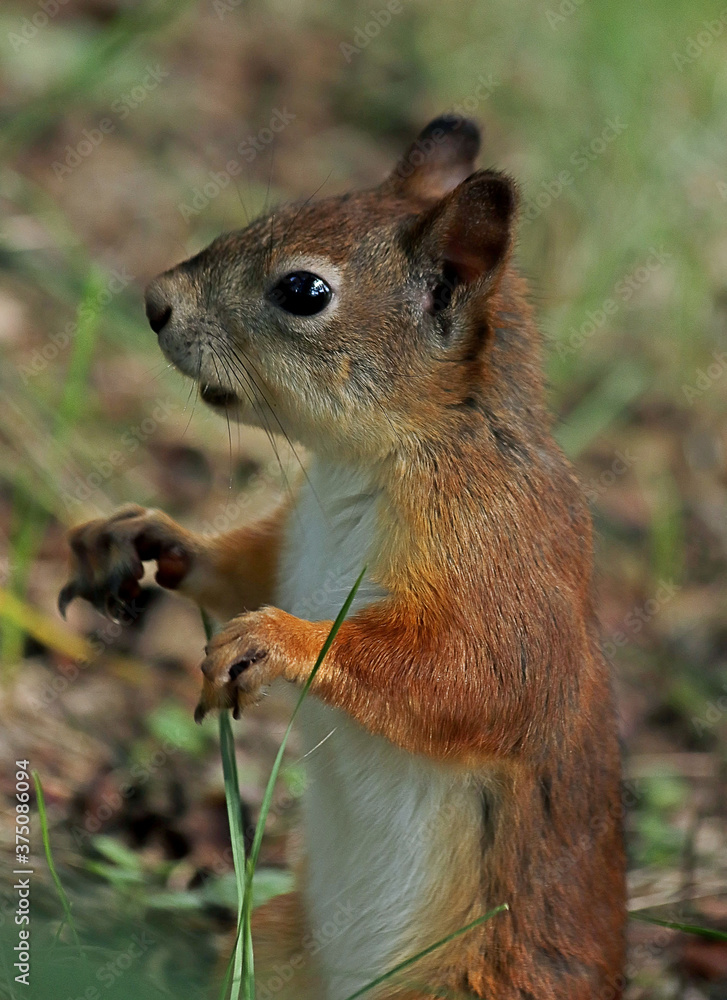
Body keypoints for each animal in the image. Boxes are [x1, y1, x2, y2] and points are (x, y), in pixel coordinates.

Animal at [59, 116, 626, 1000]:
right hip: (279, 946)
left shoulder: (503, 555)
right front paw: (145, 535)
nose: (154, 303)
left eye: (303, 292)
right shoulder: (294, 544)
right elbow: (237, 569)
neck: (364, 465)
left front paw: (278, 641)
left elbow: (482, 679)